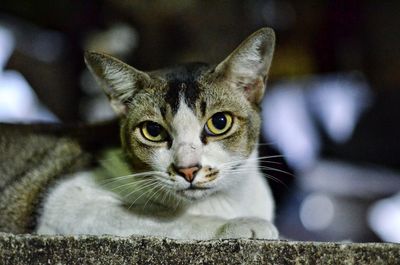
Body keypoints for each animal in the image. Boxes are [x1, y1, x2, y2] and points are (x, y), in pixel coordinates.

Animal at [33, 27, 278, 239]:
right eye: (153, 130)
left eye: (219, 122)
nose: (187, 170)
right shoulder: (66, 203)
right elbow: (167, 220)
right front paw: (240, 225)